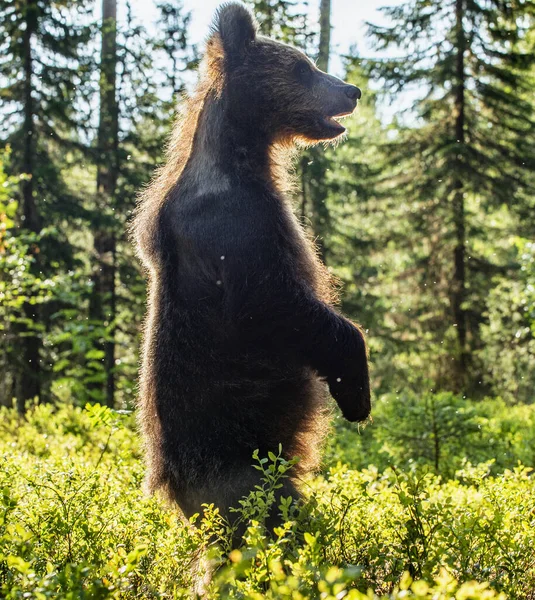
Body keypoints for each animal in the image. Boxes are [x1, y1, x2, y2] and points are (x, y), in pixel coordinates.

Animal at [132, 1, 370, 536]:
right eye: (303, 67)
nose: (352, 90)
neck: (243, 157)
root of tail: (173, 490)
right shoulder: (236, 231)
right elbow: (278, 303)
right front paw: (356, 393)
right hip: (240, 465)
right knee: (278, 517)